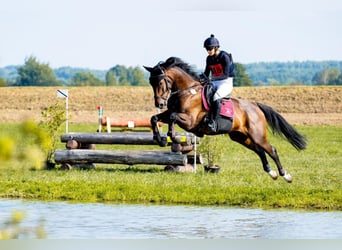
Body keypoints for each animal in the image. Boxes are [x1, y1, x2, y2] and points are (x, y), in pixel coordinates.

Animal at [144, 57, 308, 182]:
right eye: (151, 83)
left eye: (160, 82)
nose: (159, 104)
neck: (187, 91)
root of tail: (256, 106)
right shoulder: (171, 112)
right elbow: (154, 118)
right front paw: (159, 139)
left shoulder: (189, 120)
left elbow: (172, 117)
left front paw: (171, 135)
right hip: (241, 137)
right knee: (260, 151)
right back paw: (271, 173)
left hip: (257, 135)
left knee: (271, 150)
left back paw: (285, 175)